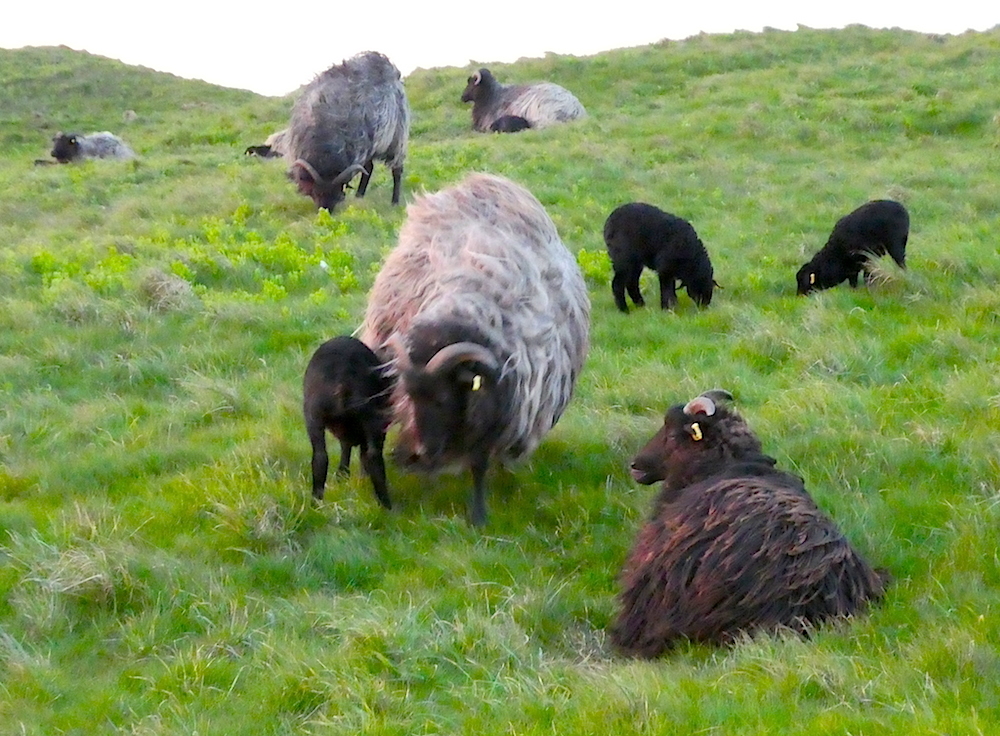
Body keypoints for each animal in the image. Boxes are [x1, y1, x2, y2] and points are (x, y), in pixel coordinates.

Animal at [284, 51, 408, 210]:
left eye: (338, 190)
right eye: (315, 192)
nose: (326, 210)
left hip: (397, 136)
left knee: (397, 169)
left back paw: (394, 201)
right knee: (369, 167)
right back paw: (359, 195)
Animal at [304, 336, 394, 508]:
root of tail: (342, 378)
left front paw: (342, 475)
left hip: (313, 416)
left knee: (320, 457)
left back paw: (315, 503)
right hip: (370, 417)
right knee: (372, 456)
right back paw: (387, 505)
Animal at [362, 171, 588, 528]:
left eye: (443, 399)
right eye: (410, 396)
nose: (419, 453)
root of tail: (483, 179)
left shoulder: (498, 410)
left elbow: (479, 465)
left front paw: (479, 516)